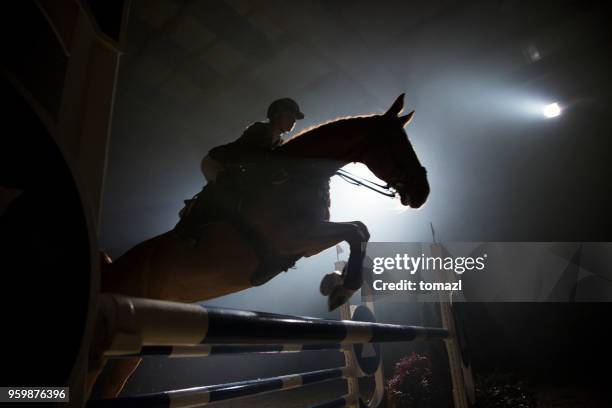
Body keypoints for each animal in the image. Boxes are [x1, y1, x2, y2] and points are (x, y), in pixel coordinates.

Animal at [89, 95, 430, 398]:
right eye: (397, 144)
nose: (422, 193)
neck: (295, 177)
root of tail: (111, 267)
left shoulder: (307, 241)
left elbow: (359, 230)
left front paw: (335, 284)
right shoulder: (295, 237)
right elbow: (356, 231)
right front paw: (341, 290)